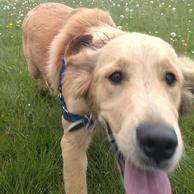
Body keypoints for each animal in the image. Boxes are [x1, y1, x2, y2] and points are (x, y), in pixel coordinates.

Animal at [22, 1, 194, 194]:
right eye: (115, 76)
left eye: (171, 78)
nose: (160, 143)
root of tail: (38, 6)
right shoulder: (71, 142)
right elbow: (77, 185)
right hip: (33, 68)